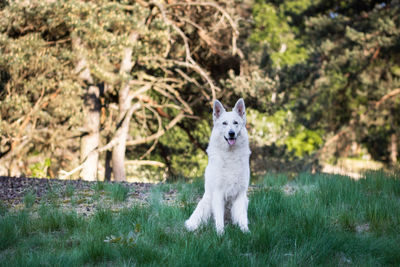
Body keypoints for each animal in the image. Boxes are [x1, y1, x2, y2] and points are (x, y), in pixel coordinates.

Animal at [185, 98, 250, 234]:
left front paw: (245, 232)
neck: (230, 155)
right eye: (224, 123)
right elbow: (219, 218)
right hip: (205, 204)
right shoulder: (218, 193)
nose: (231, 133)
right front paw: (220, 234)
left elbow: (242, 216)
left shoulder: (241, 194)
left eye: (235, 123)